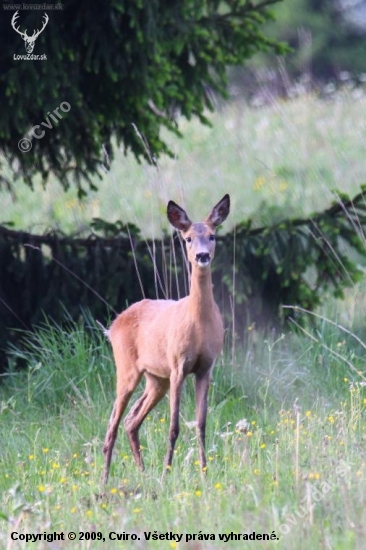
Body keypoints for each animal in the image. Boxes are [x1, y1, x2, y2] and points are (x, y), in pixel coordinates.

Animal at [101, 194, 230, 484]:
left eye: (213, 236)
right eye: (188, 238)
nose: (202, 256)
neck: (198, 323)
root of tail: (113, 326)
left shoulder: (206, 368)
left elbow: (201, 424)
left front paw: (204, 472)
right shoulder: (177, 365)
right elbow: (173, 427)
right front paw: (166, 472)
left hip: (155, 379)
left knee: (131, 421)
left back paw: (142, 472)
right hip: (127, 369)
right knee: (112, 423)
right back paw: (104, 480)